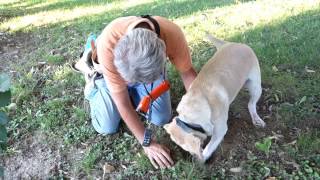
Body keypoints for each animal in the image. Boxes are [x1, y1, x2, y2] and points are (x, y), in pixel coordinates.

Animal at [165, 33, 264, 161]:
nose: (192, 157)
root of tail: (231, 43)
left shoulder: (220, 130)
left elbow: (209, 148)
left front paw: (202, 158)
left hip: (255, 86)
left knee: (251, 104)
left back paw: (256, 118)